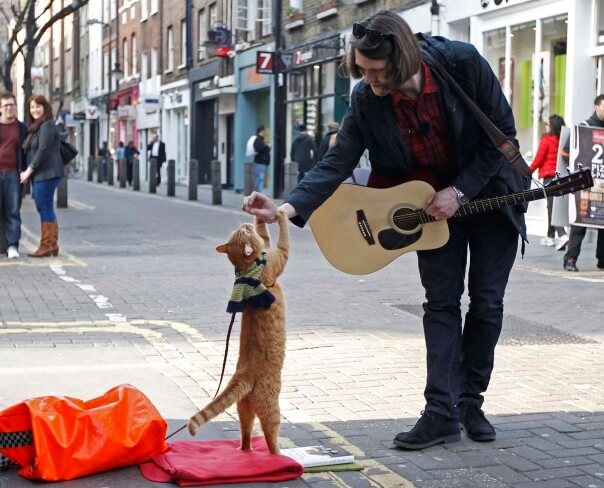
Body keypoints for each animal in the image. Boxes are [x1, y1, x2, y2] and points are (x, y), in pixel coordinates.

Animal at [189, 209, 292, 454]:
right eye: (243, 231)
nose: (245, 223)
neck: (249, 269)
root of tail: (243, 375)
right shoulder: (280, 256)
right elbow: (283, 236)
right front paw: (281, 213)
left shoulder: (267, 246)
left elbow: (265, 235)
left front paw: (261, 215)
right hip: (272, 410)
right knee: (271, 437)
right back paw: (279, 455)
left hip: (243, 410)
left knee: (245, 435)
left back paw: (246, 451)